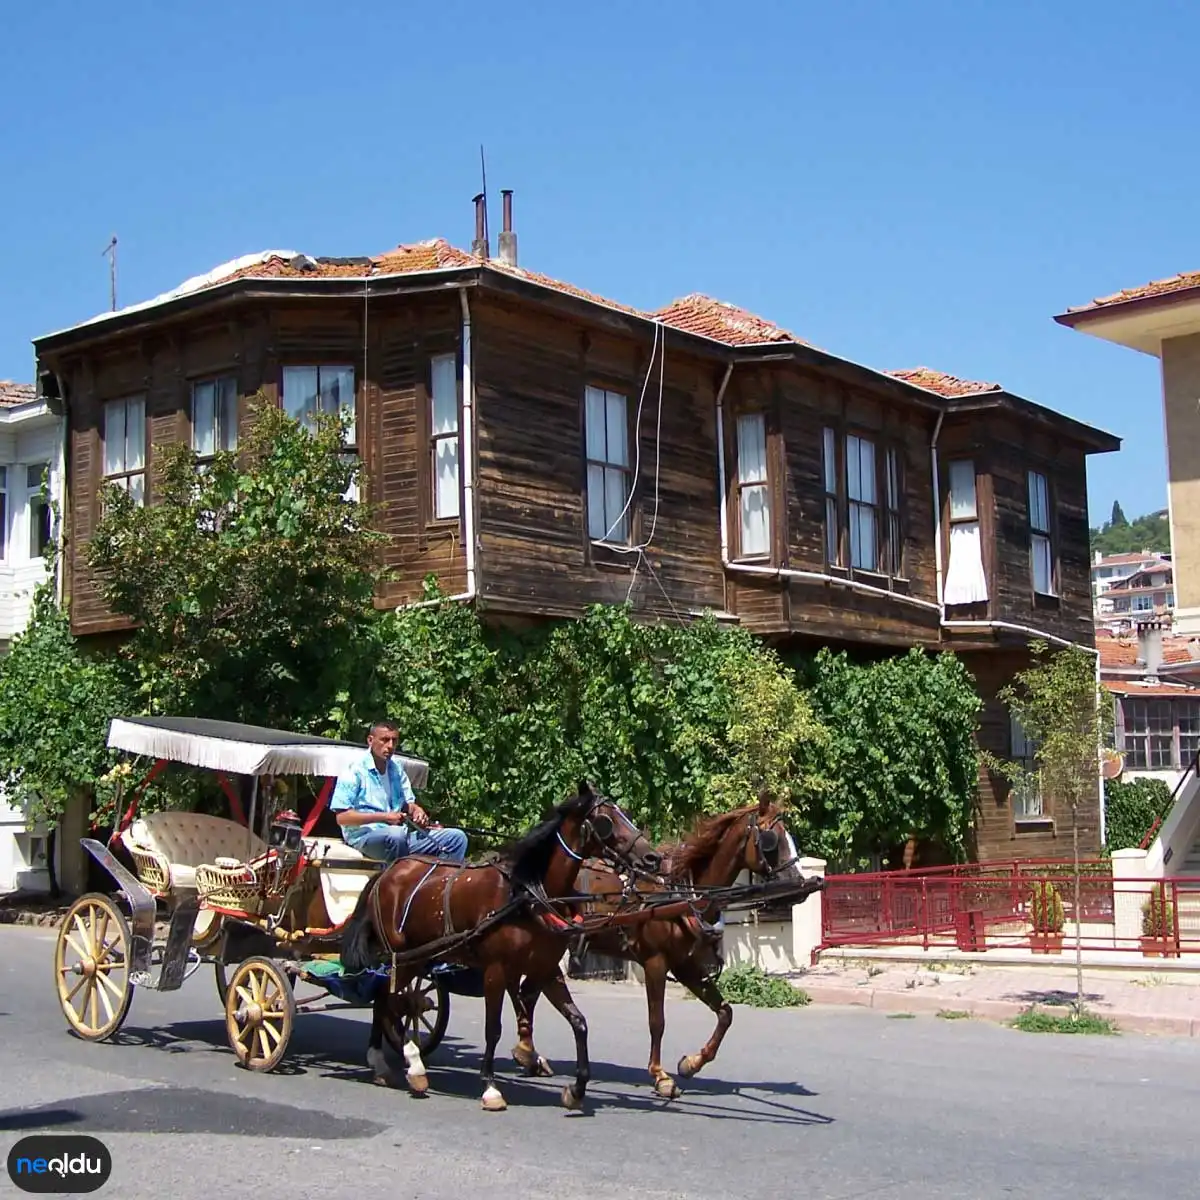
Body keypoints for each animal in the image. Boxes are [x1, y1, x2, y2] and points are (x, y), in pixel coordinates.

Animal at [338, 782, 657, 1108]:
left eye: (626, 813)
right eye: (607, 820)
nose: (652, 858)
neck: (527, 893)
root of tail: (387, 872)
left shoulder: (545, 969)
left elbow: (578, 1022)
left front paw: (577, 1088)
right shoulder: (496, 970)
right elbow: (493, 1028)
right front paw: (490, 1086)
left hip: (416, 957)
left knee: (386, 998)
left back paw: (391, 1062)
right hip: (402, 956)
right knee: (387, 999)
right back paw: (405, 1063)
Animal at [508, 792, 806, 1099]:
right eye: (772, 840)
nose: (799, 882)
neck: (681, 895)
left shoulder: (686, 965)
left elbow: (725, 1013)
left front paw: (692, 1063)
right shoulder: (655, 963)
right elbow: (657, 1021)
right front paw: (661, 1075)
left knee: (528, 992)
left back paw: (529, 1054)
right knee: (527, 991)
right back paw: (527, 1053)